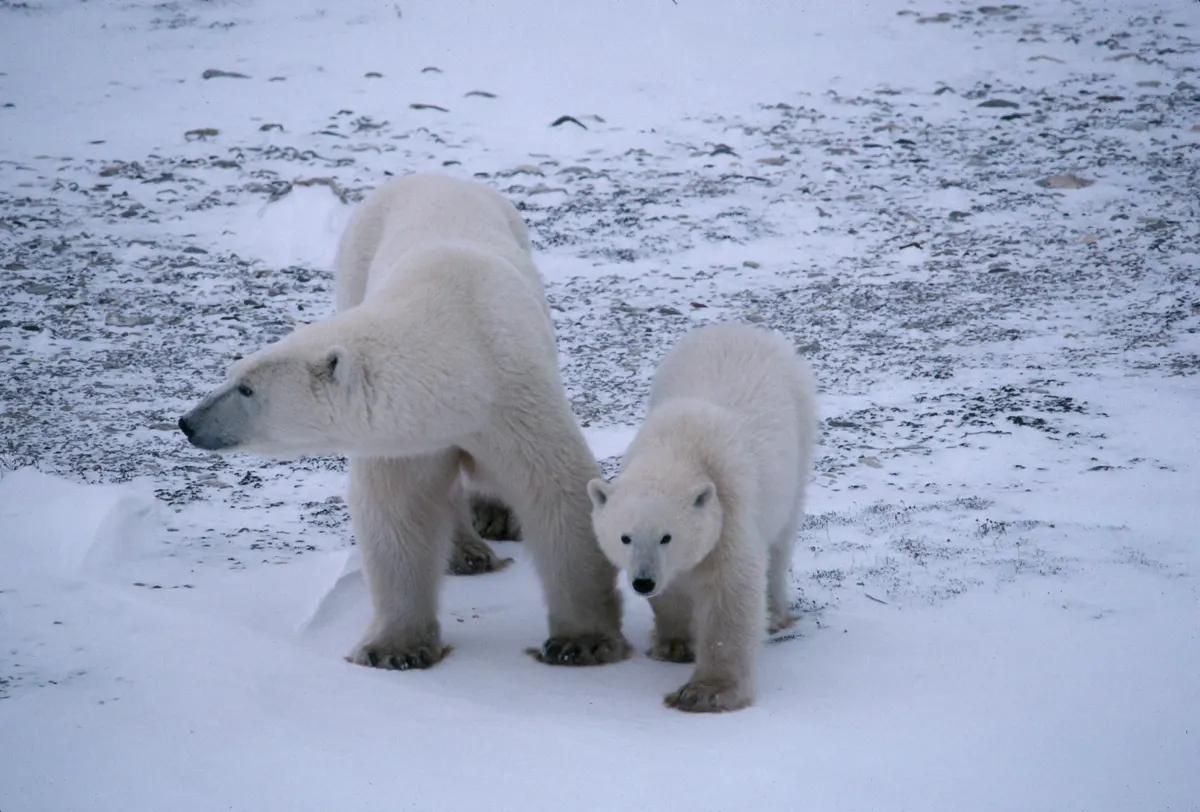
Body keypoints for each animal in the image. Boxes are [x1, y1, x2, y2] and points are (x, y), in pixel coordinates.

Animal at [179, 171, 630, 670]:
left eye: (245, 388)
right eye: (232, 375)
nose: (188, 422)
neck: (462, 348)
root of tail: (429, 176)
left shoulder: (513, 396)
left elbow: (557, 491)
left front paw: (582, 641)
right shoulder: (407, 437)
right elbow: (399, 510)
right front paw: (394, 649)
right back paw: (466, 550)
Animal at [586, 322, 818, 712]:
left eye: (667, 536)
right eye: (625, 537)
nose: (642, 581)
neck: (678, 446)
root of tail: (739, 327)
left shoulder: (729, 507)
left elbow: (731, 591)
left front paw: (706, 691)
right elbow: (673, 589)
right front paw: (675, 643)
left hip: (800, 435)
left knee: (780, 542)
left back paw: (776, 613)